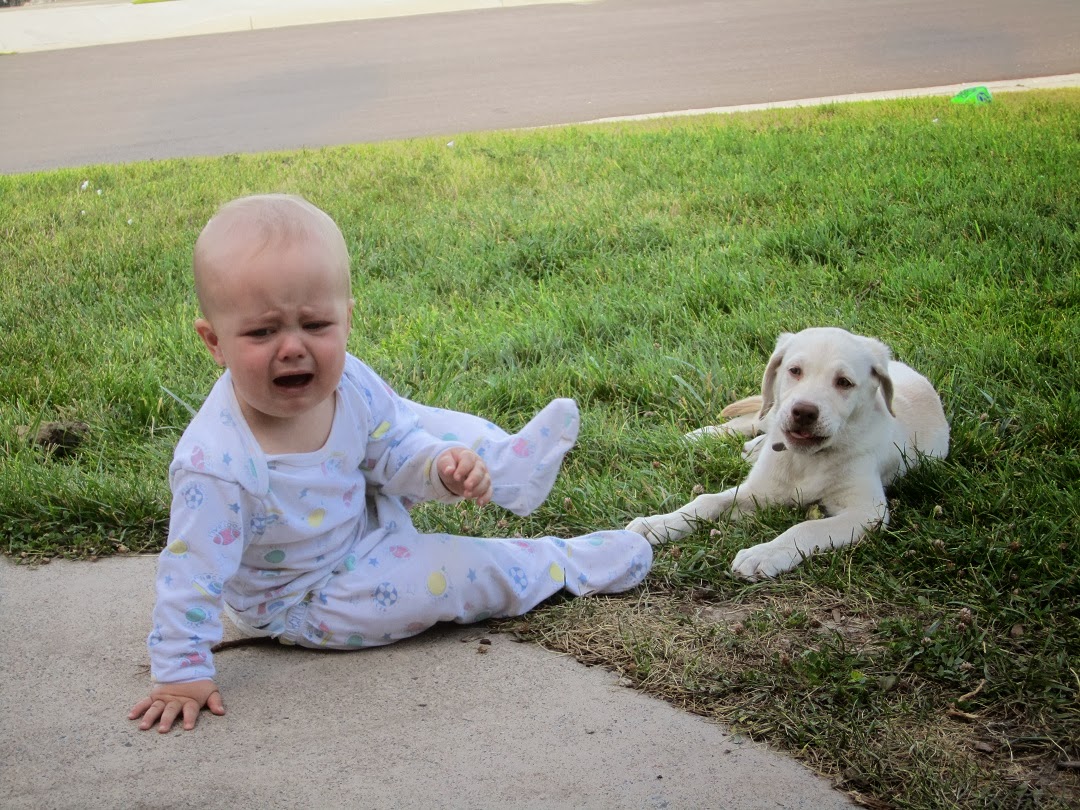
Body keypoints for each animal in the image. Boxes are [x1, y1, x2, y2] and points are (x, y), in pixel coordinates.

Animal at [627, 327, 949, 580]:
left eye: (844, 382)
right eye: (795, 371)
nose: (804, 412)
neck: (807, 458)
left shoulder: (867, 513)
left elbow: (806, 527)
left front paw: (765, 554)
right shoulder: (760, 487)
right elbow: (707, 499)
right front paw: (658, 523)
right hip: (772, 408)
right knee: (755, 417)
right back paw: (701, 436)